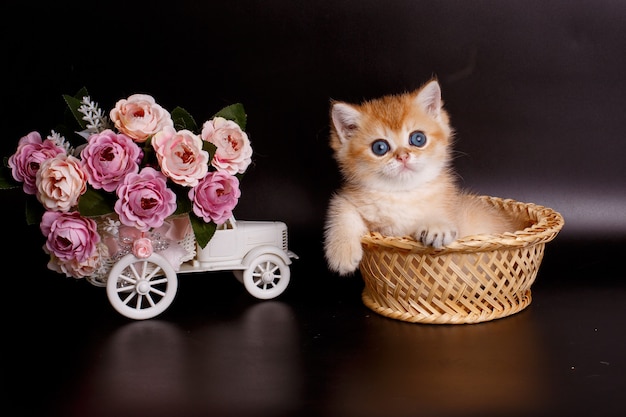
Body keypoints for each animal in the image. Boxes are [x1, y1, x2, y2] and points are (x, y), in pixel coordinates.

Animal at [324, 79, 524, 274]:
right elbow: (342, 210)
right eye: (379, 147)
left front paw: (437, 226)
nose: (403, 156)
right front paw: (342, 251)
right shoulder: (351, 200)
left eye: (418, 139)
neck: (403, 194)